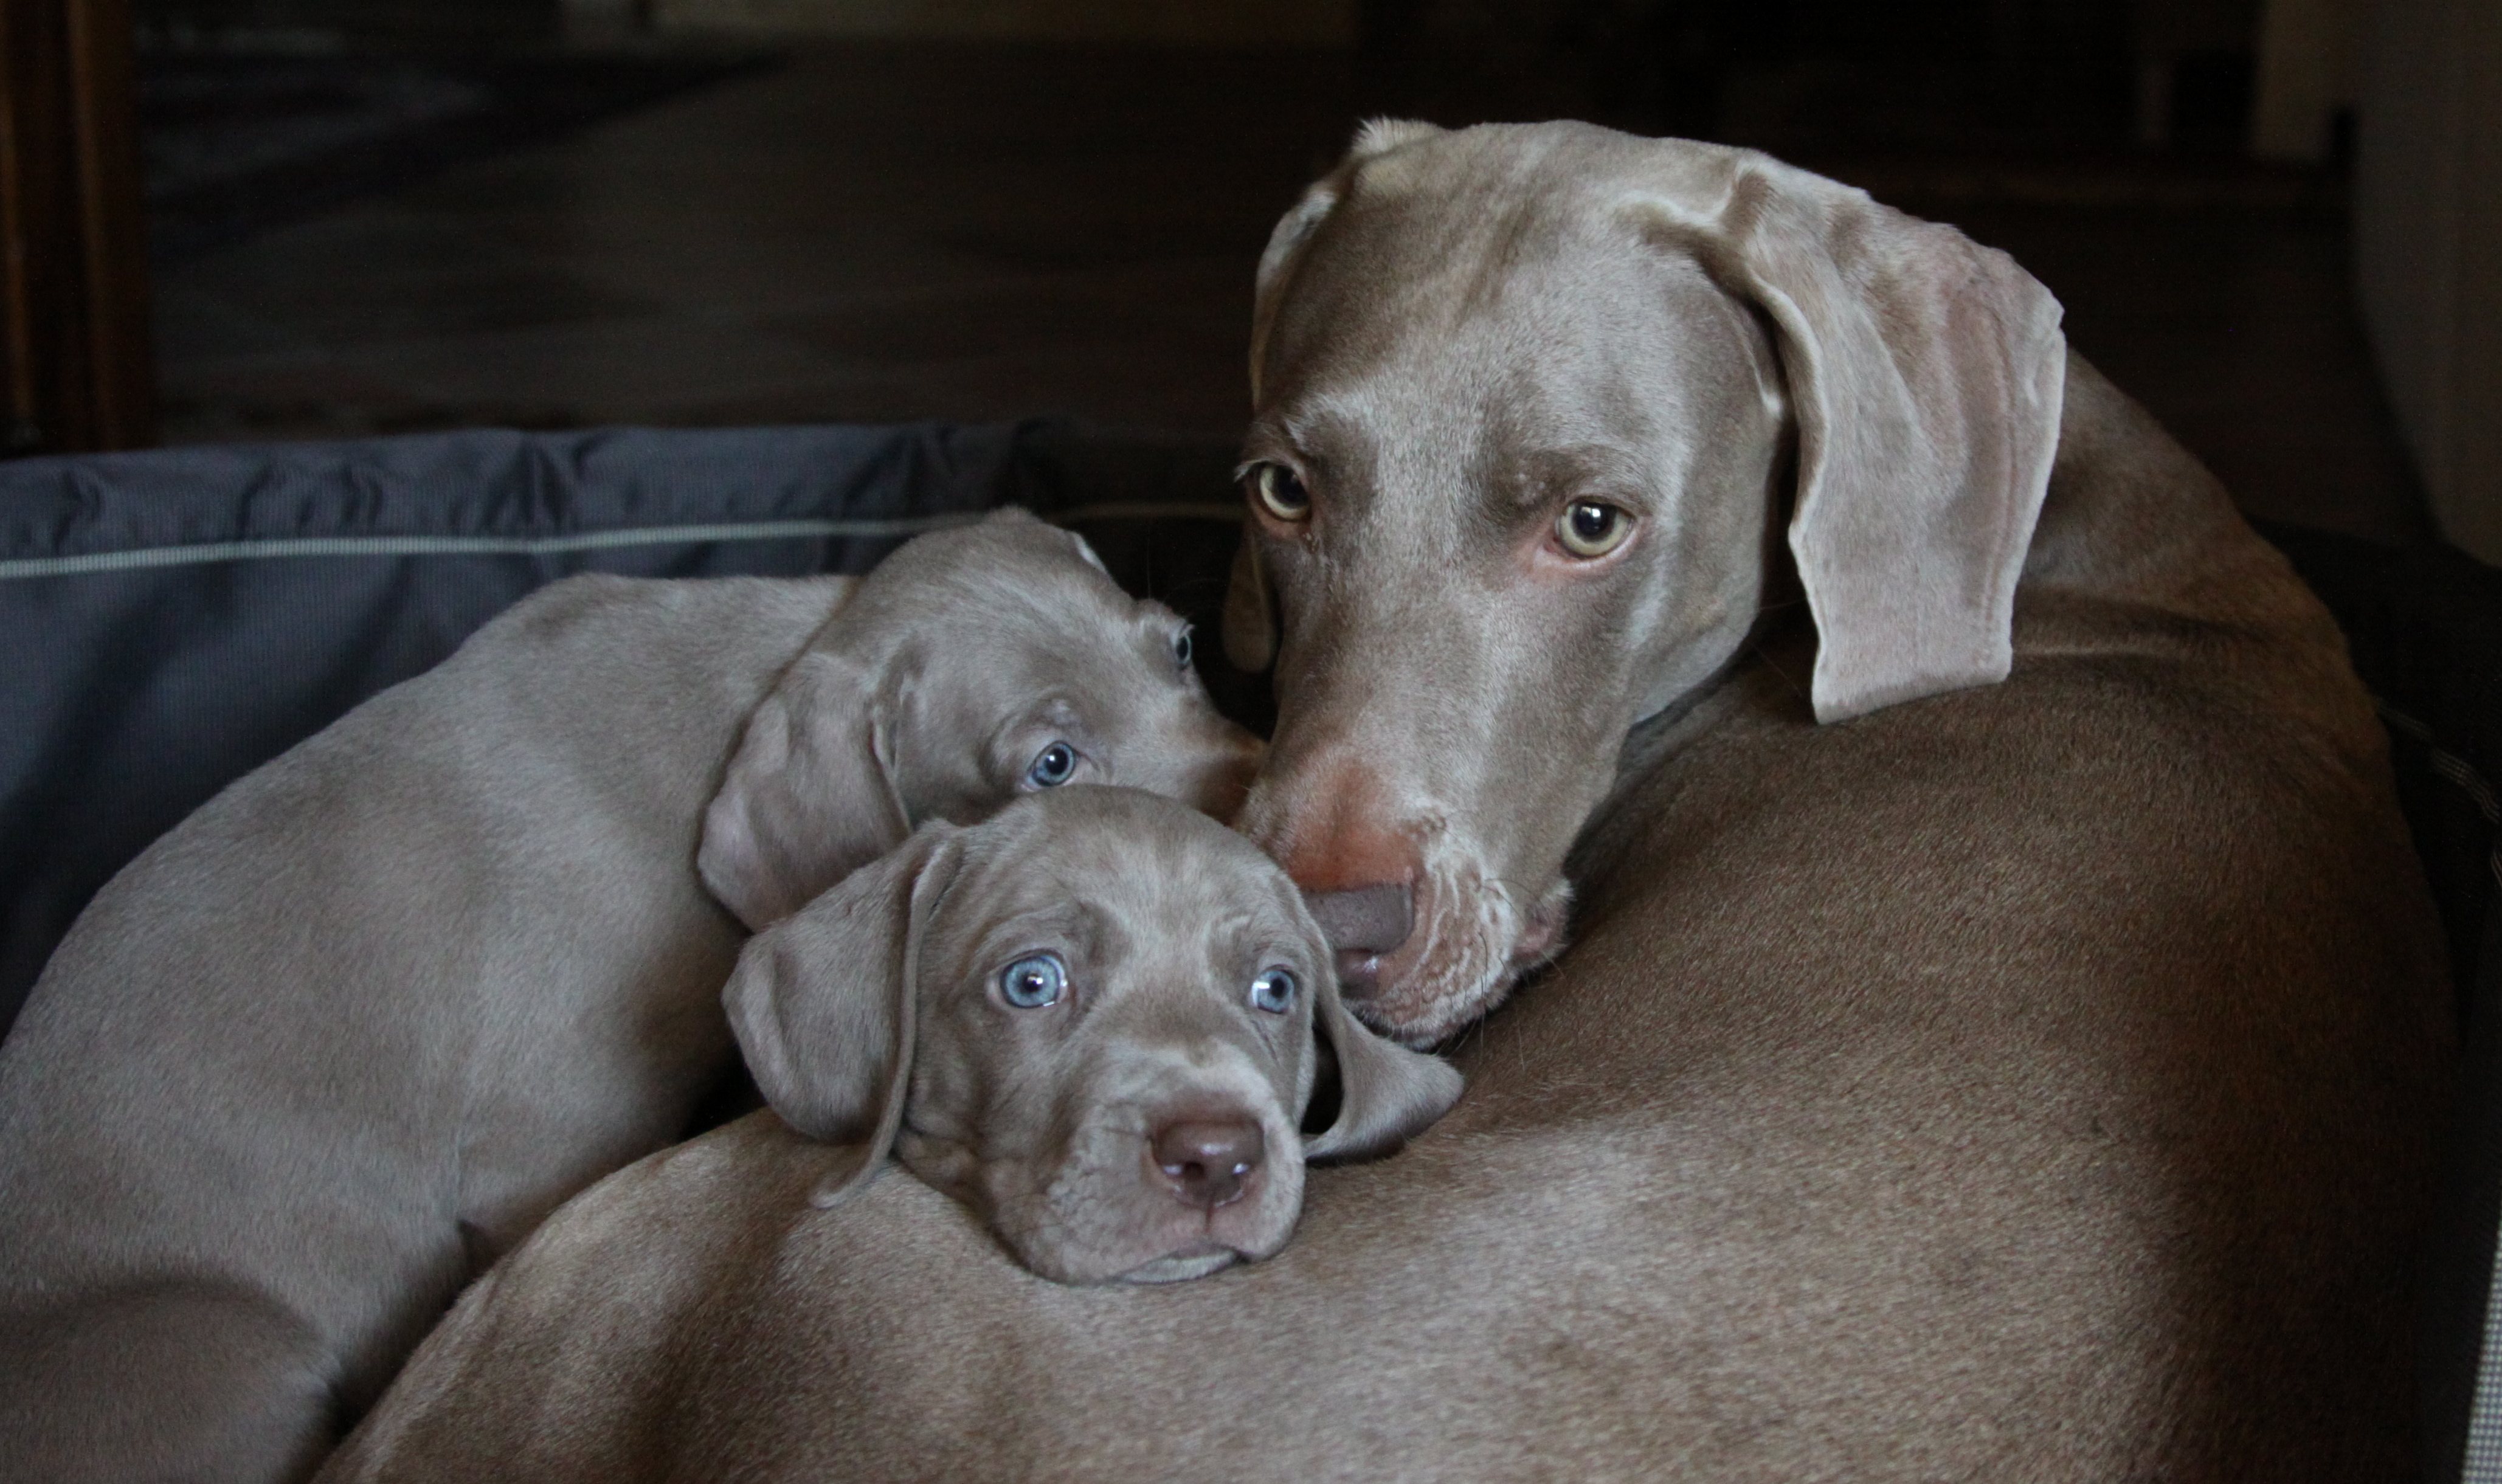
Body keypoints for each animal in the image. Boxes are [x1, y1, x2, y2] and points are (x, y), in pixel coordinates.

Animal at [0, 510, 1260, 1481]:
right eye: (1053, 762)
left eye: (1182, 647)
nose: (1263, 809)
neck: (770, 659)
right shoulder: (536, 1158)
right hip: (227, 1346)